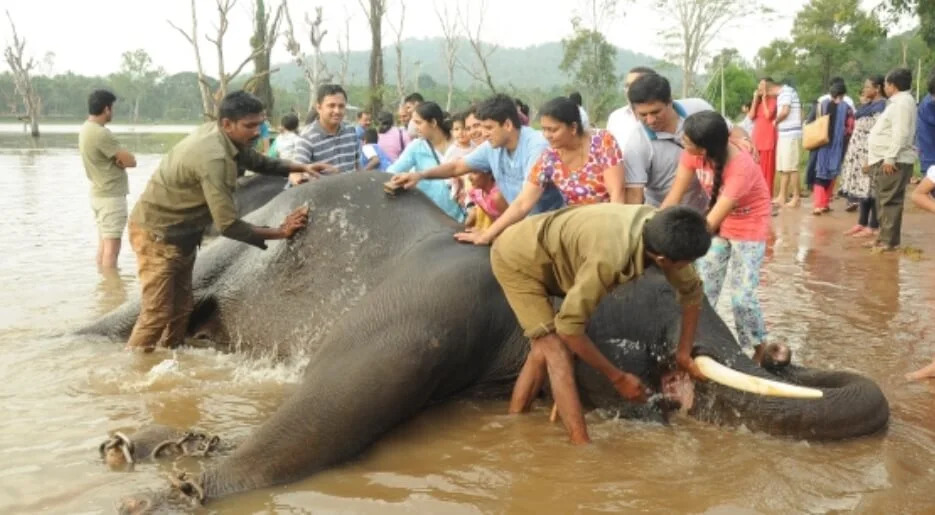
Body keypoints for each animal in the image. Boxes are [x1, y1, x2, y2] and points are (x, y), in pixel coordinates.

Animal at [78, 171, 889, 513]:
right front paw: (168, 495)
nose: (780, 352)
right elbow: (333, 409)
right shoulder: (439, 304)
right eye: (657, 284)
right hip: (211, 254)